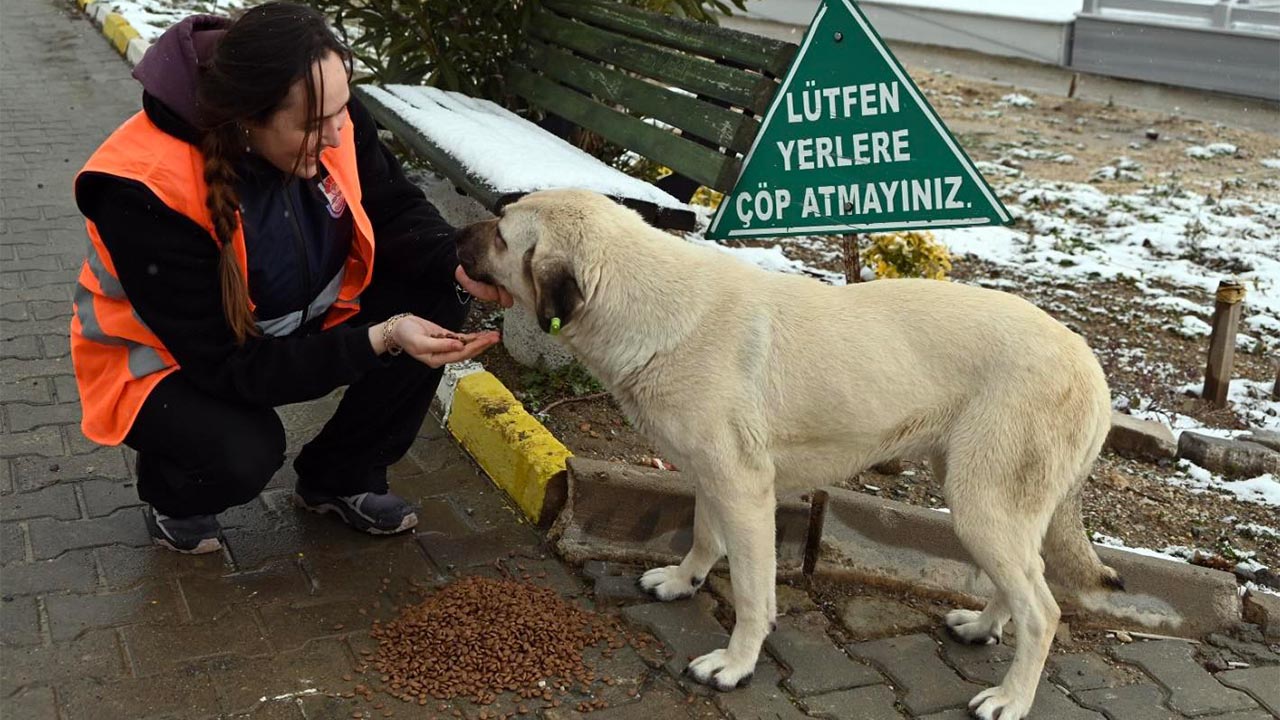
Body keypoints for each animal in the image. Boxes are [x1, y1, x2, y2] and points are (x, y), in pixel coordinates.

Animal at [458, 188, 1121, 712]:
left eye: (502, 233)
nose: (456, 236)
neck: (650, 303)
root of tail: (1090, 363)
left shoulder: (745, 492)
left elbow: (754, 592)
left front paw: (735, 664)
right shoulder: (714, 479)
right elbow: (704, 538)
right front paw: (683, 582)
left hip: (981, 506)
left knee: (1043, 611)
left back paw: (1011, 698)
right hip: (987, 504)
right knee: (1023, 583)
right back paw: (983, 627)